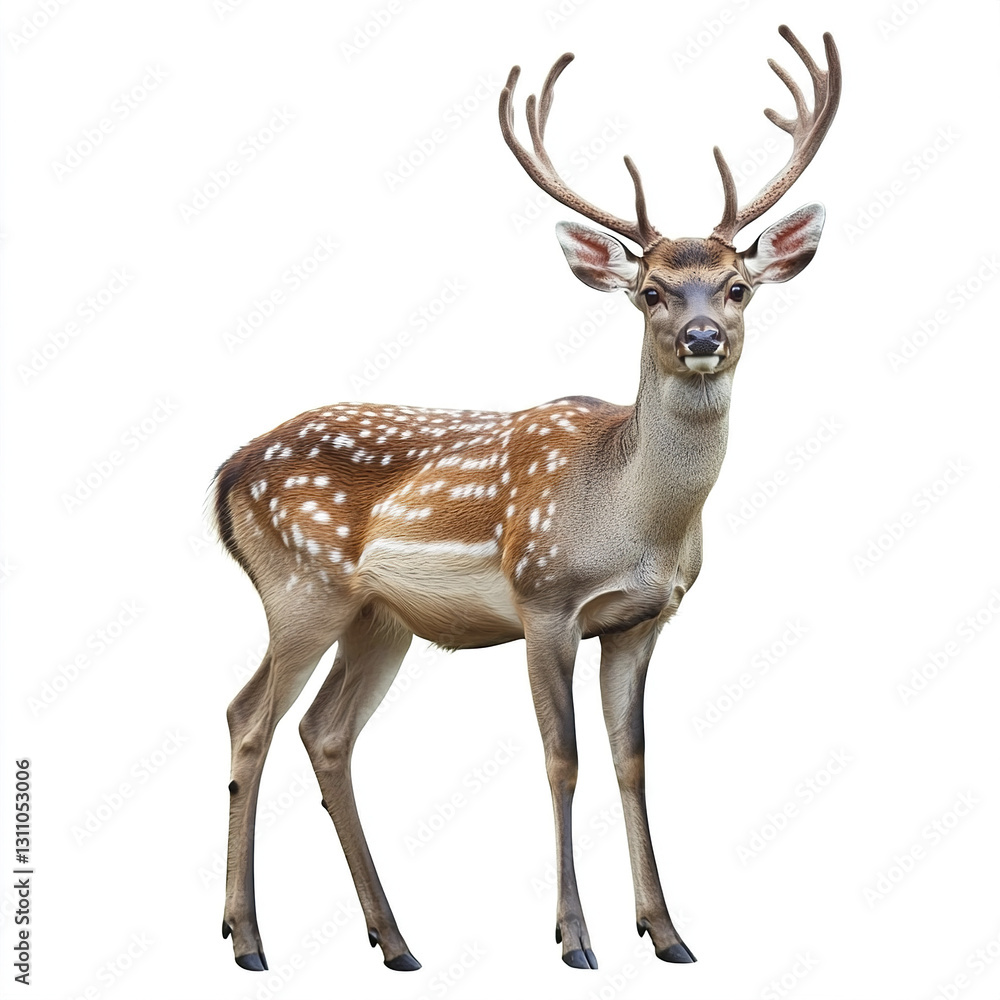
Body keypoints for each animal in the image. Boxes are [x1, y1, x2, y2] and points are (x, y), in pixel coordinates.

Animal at [213, 24, 840, 974]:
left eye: (738, 286)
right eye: (650, 291)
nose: (702, 337)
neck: (636, 520)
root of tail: (225, 473)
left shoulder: (643, 619)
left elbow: (632, 760)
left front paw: (667, 933)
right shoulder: (543, 598)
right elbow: (562, 758)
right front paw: (574, 938)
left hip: (377, 619)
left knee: (325, 732)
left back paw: (395, 941)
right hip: (300, 587)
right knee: (247, 716)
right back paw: (248, 940)